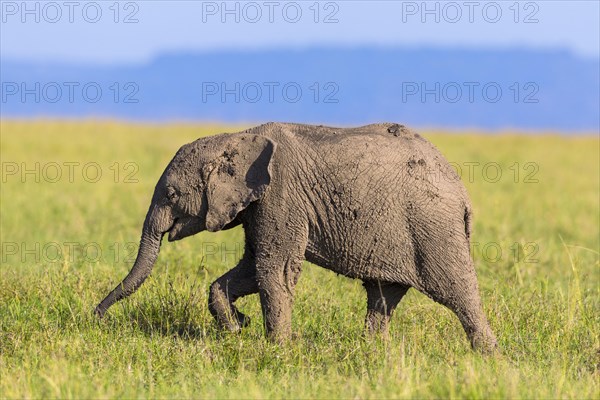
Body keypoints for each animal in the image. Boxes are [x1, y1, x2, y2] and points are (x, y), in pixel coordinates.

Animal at [95, 122, 496, 354]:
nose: (96, 316)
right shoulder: (258, 203)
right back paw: (372, 353)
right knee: (383, 295)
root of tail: (462, 192)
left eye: (172, 194)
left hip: (432, 227)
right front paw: (237, 328)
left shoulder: (280, 196)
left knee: (457, 291)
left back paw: (488, 355)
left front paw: (276, 349)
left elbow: (274, 269)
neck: (235, 138)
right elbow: (249, 269)